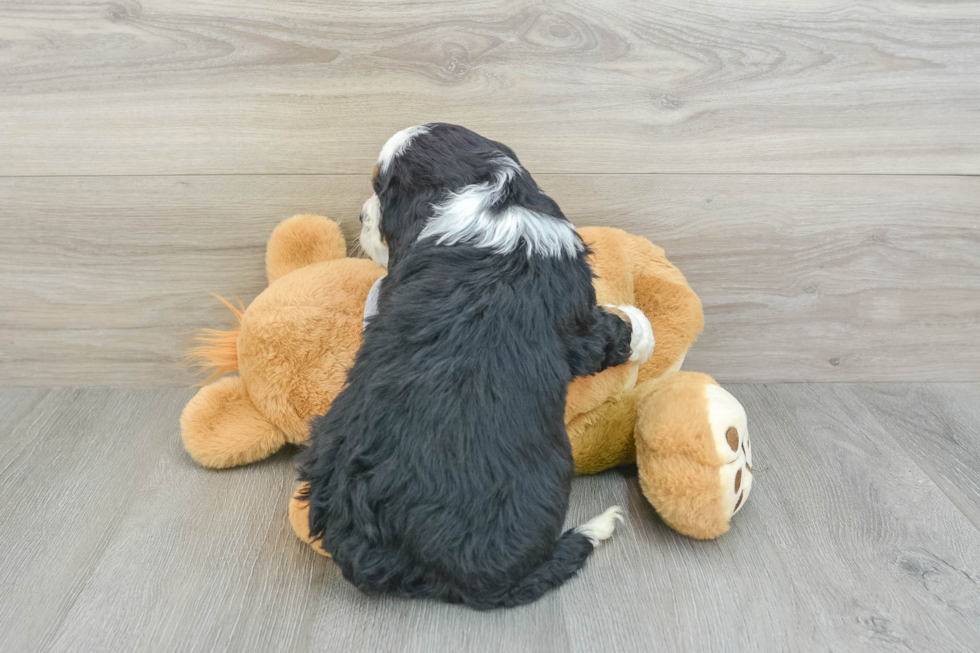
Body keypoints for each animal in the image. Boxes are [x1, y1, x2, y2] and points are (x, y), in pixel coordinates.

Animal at [296, 125, 652, 608]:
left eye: (379, 191)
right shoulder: (580, 327)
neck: (484, 196)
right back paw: (594, 529)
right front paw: (642, 328)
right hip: (539, 491)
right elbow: (614, 334)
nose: (360, 215)